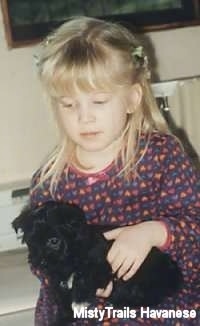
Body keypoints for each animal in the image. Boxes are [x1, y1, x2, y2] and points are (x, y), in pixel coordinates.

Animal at [11, 200, 182, 324]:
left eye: (54, 241)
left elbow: (83, 278)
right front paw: (64, 318)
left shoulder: (102, 266)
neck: (71, 255)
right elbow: (63, 298)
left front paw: (78, 303)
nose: (39, 263)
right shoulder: (58, 280)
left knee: (149, 298)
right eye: (30, 242)